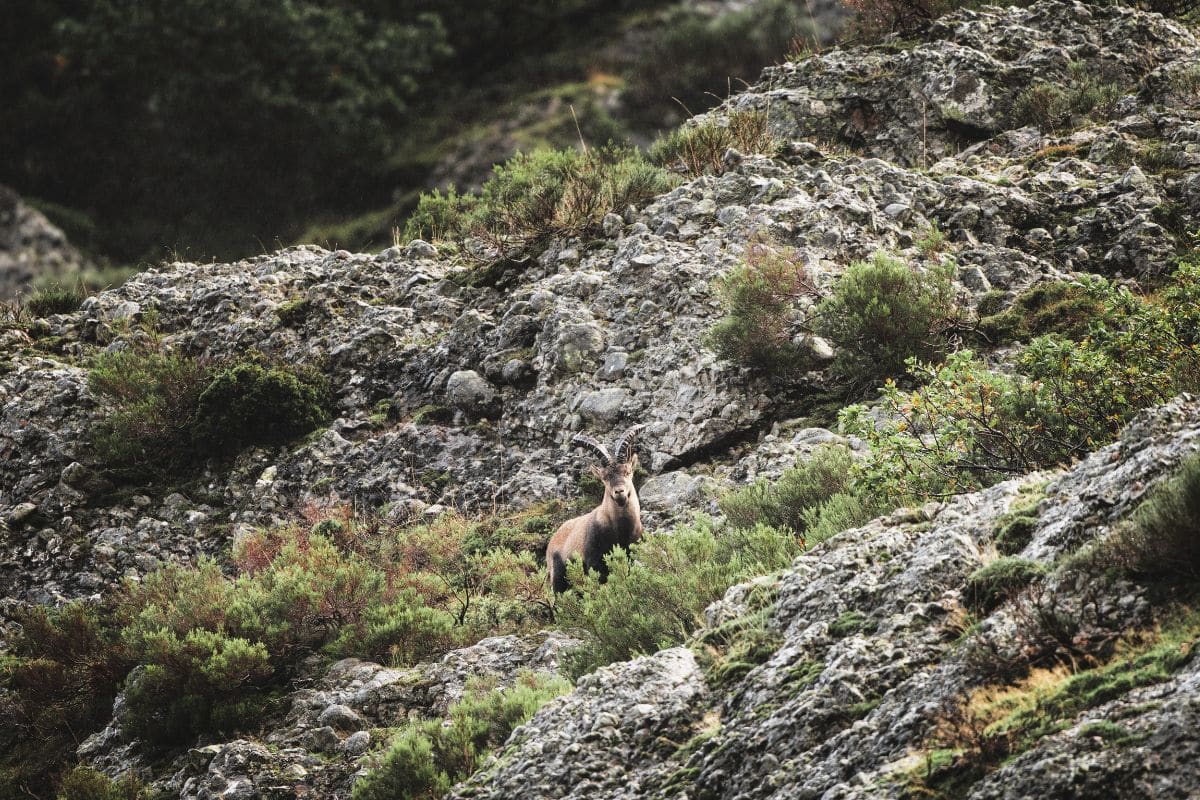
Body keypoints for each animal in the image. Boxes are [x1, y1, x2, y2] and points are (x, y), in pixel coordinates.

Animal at [546, 424, 645, 594]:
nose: (619, 492)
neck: (620, 530)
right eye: (605, 477)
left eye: (627, 471)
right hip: (558, 577)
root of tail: (551, 542)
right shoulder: (594, 562)